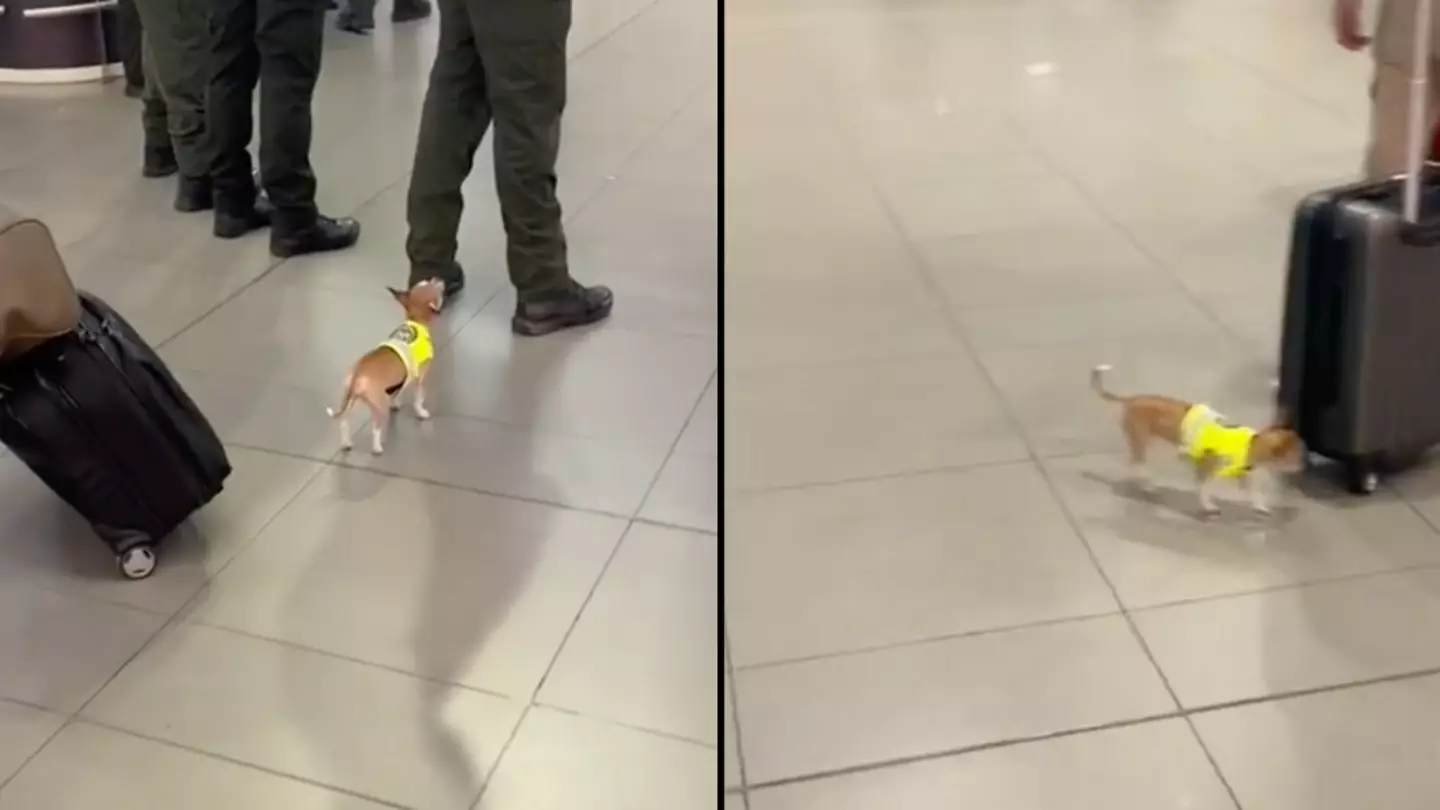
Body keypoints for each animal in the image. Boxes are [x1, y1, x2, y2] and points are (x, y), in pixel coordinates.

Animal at [326, 279, 443, 455]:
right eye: (431, 285)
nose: (439, 280)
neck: (415, 320)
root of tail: (358, 374)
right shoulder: (421, 377)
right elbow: (419, 398)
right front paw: (421, 412)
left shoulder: (397, 383)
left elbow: (398, 392)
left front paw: (396, 403)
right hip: (380, 405)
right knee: (376, 428)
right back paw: (377, 447)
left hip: (349, 400)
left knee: (344, 422)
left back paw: (346, 443)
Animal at [1088, 363, 1307, 513]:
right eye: (1295, 455)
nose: (1304, 466)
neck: (1252, 444)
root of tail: (1132, 398)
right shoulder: (1205, 469)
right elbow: (1204, 488)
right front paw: (1208, 505)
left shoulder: (1243, 476)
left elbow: (1254, 494)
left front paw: (1260, 507)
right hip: (1141, 442)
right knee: (1138, 465)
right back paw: (1147, 485)